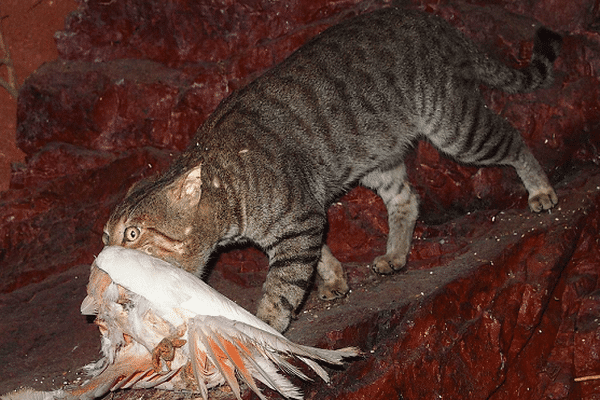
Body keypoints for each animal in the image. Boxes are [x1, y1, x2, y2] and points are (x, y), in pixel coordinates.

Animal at [103, 7, 564, 332]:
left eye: (133, 234)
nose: (104, 260)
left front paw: (267, 326)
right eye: (106, 236)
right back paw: (395, 254)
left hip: (457, 127)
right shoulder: (304, 217)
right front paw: (334, 278)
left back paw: (540, 190)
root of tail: (439, 24)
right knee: (406, 199)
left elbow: (282, 287)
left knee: (513, 137)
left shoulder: (299, 218)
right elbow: (318, 257)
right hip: (377, 158)